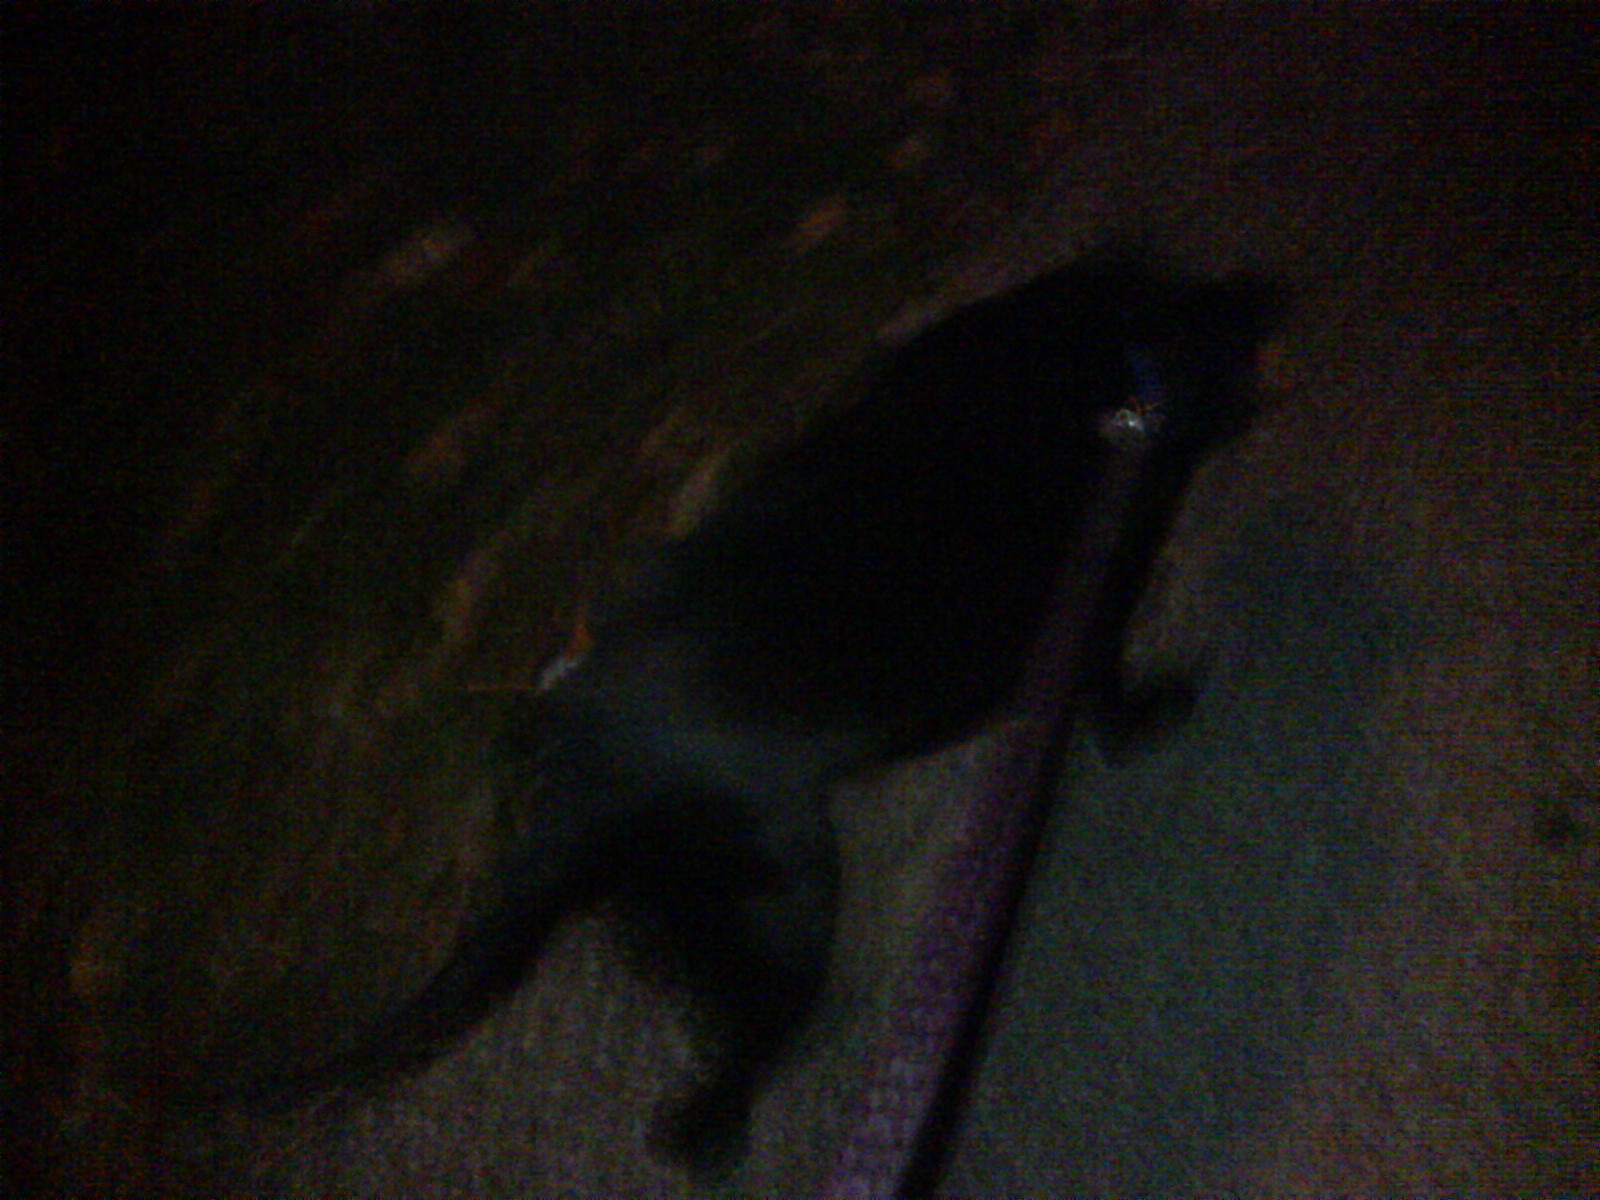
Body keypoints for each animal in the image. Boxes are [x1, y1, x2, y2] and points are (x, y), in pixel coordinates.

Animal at [244, 252, 1276, 1175]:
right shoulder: (1097, 596)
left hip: (676, 905)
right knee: (736, 1058)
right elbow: (1107, 697)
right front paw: (1147, 719)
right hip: (786, 899)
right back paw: (719, 1136)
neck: (1101, 353)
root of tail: (580, 777)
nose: (1263, 333)